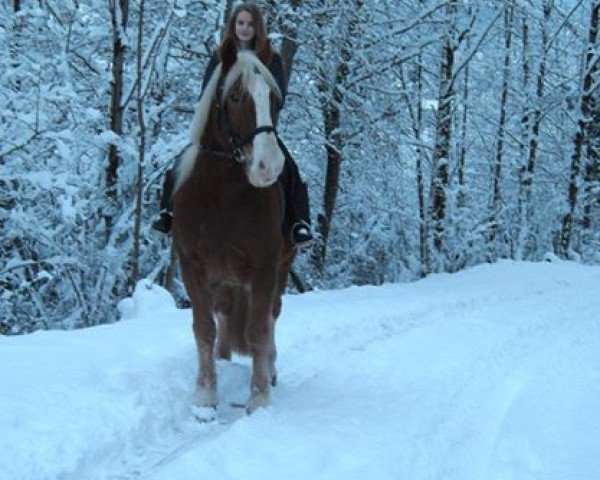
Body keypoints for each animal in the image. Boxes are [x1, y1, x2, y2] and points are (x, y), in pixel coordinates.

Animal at [172, 44, 296, 416]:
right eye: (237, 96)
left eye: (275, 99)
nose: (269, 166)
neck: (222, 193)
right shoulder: (191, 266)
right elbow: (203, 329)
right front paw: (205, 396)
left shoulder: (265, 266)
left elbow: (258, 329)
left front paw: (259, 397)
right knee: (225, 314)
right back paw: (223, 360)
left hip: (281, 269)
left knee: (271, 316)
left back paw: (269, 369)